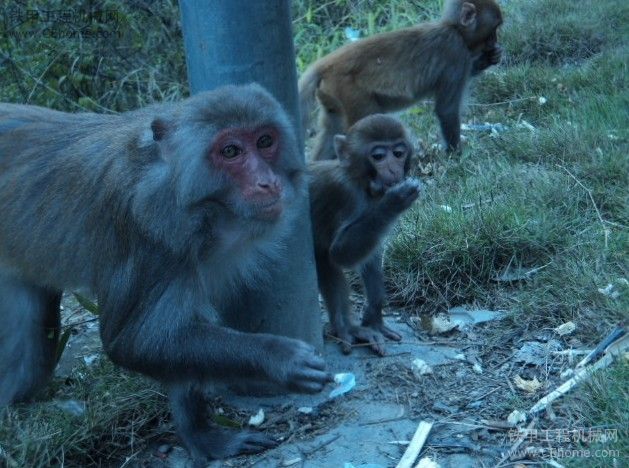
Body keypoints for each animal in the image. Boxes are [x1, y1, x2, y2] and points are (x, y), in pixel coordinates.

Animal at [0, 83, 332, 460]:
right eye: (230, 151)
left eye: (265, 141)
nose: (267, 182)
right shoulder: (149, 236)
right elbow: (134, 339)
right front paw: (279, 358)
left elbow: (167, 341)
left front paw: (203, 436)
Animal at [302, 0, 502, 159]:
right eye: (494, 30)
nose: (495, 40)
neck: (453, 29)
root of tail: (327, 64)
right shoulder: (456, 52)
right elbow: (446, 110)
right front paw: (456, 155)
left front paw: (489, 59)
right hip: (350, 92)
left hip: (332, 97)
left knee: (332, 131)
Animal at [306, 114, 420, 354]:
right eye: (378, 156)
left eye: (398, 153)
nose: (394, 170)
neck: (358, 181)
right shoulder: (344, 196)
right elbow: (341, 253)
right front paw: (395, 201)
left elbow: (370, 254)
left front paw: (374, 315)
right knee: (325, 258)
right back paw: (346, 327)